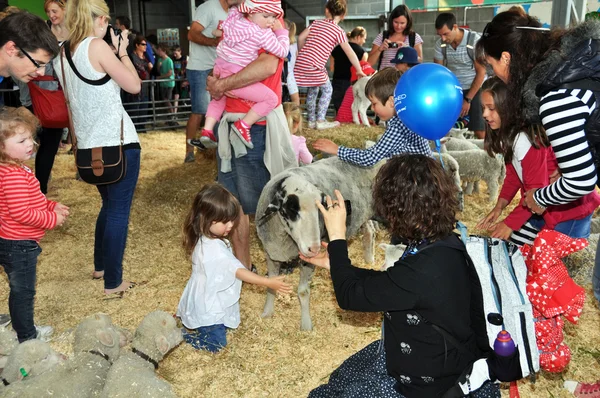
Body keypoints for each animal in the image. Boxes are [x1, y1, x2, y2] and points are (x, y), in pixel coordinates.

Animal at [255, 155, 382, 330]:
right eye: (291, 208)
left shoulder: (308, 261)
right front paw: (267, 313)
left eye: (320, 208)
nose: (314, 249)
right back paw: (369, 261)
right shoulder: (271, 253)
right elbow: (270, 284)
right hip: (363, 215)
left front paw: (306, 325)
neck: (283, 237)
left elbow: (303, 291)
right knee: (369, 230)